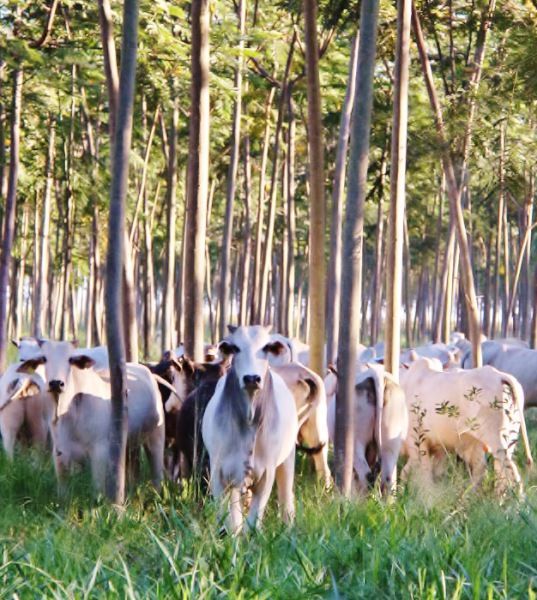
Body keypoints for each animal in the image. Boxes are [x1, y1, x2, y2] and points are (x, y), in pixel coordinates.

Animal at [17, 340, 164, 494]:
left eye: (70, 359)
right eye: (44, 358)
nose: (56, 383)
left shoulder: (99, 452)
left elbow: (97, 489)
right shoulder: (60, 453)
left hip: (156, 437)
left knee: (156, 470)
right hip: (131, 445)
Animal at [203, 326, 300, 532]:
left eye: (266, 347)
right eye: (236, 348)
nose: (251, 378)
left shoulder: (266, 474)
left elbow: (253, 521)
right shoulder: (219, 473)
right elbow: (230, 520)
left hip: (287, 460)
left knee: (286, 498)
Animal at [400, 360, 528, 492]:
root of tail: (499, 376)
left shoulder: (416, 441)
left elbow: (423, 473)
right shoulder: (439, 447)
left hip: (496, 440)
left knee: (510, 471)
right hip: (508, 438)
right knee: (497, 473)